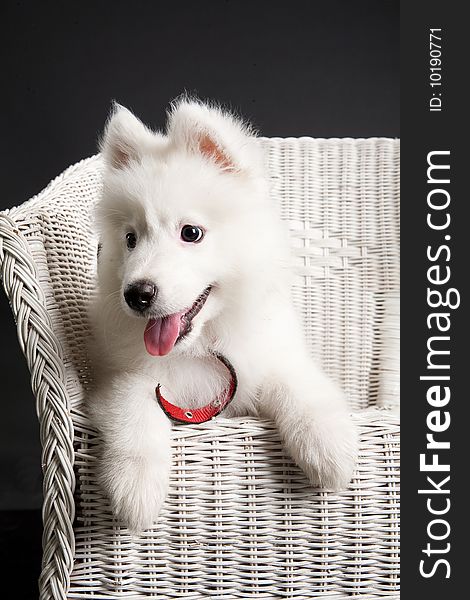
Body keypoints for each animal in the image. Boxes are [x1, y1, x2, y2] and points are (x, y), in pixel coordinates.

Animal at [90, 99, 358, 536]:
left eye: (191, 233)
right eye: (131, 239)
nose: (137, 294)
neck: (203, 344)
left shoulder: (269, 357)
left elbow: (299, 386)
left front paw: (328, 447)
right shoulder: (116, 377)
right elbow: (134, 407)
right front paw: (136, 490)